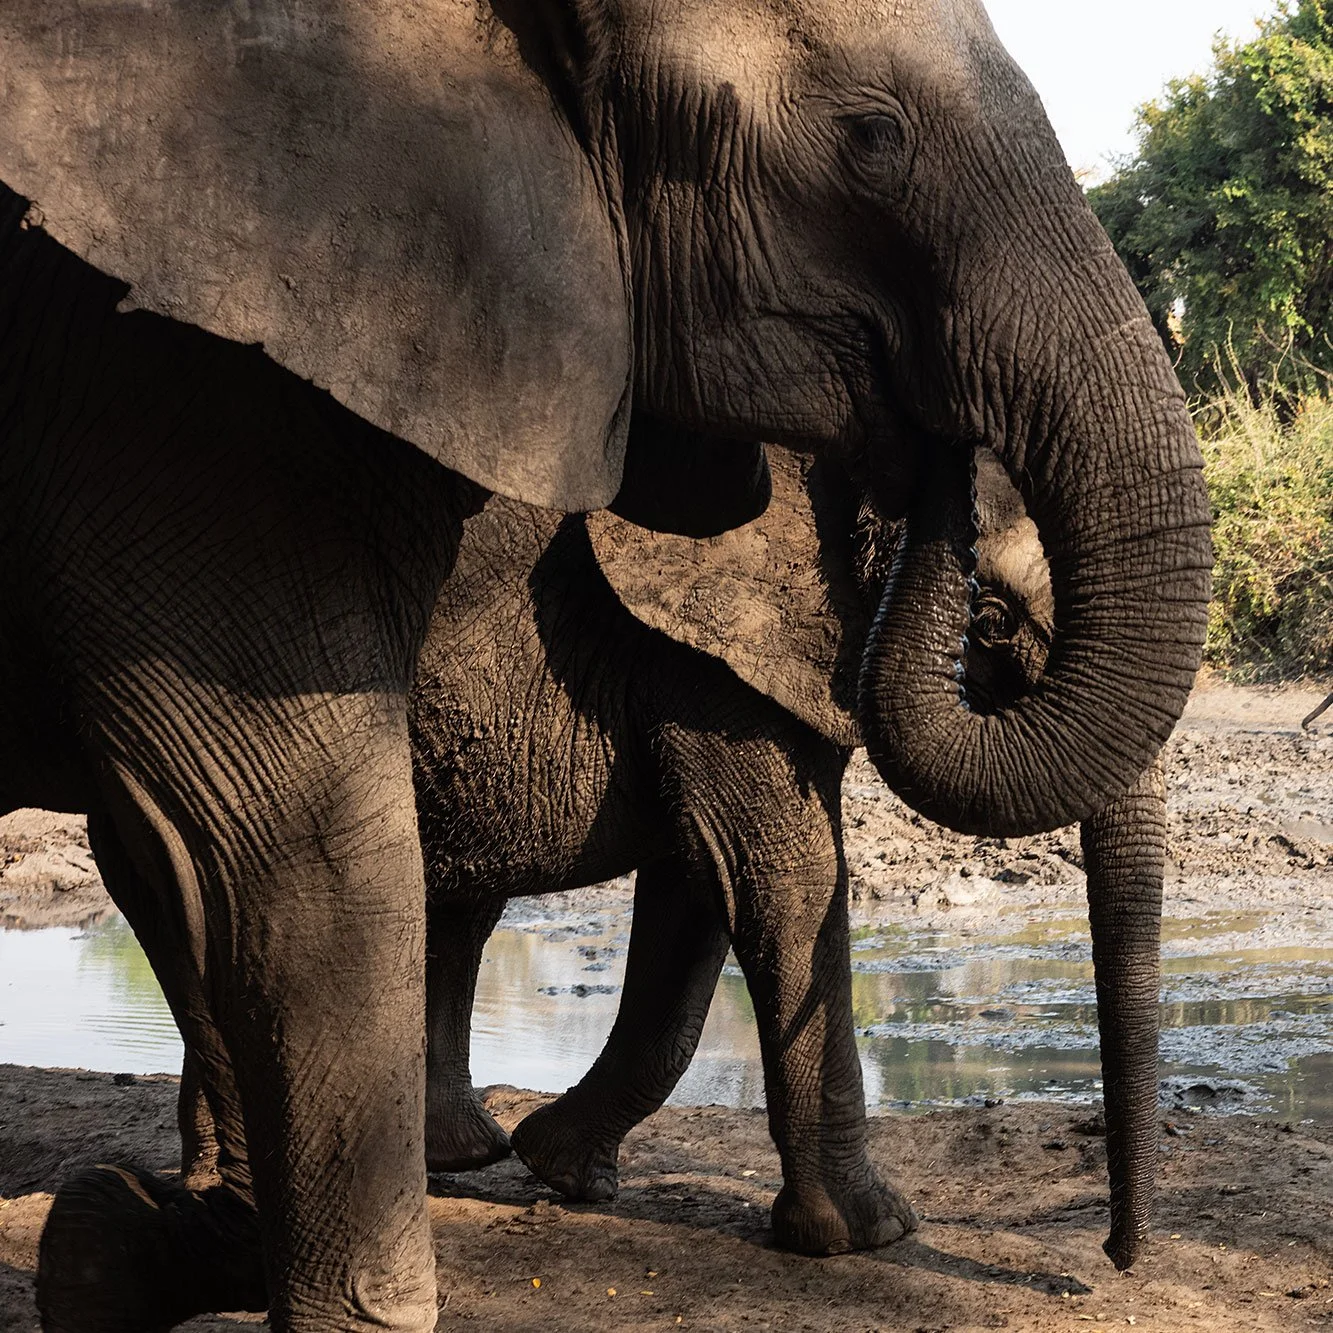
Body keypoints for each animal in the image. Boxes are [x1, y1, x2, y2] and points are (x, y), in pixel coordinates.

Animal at [0, 2, 1212, 1329]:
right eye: (989, 622)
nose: (1114, 1261)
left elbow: (701, 885)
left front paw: (564, 1169)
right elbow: (776, 868)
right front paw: (867, 1234)